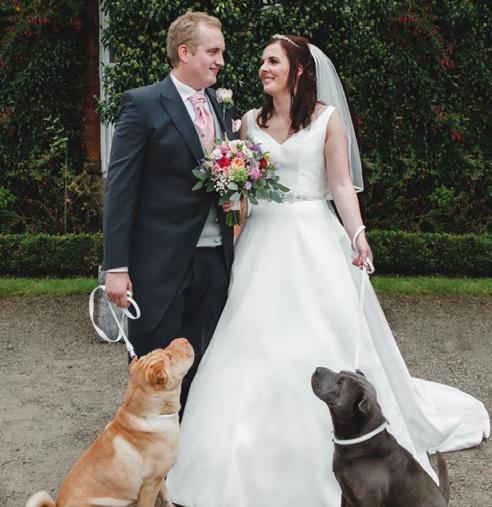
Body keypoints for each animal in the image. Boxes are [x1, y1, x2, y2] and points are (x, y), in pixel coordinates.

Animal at [26, 337, 194, 507]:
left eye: (165, 351)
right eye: (169, 357)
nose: (184, 339)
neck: (147, 415)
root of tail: (58, 505)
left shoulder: (159, 478)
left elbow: (166, 494)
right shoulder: (150, 484)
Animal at [311, 367, 449, 507]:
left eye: (341, 383)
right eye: (340, 372)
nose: (317, 369)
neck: (363, 446)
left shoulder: (366, 501)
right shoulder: (345, 494)